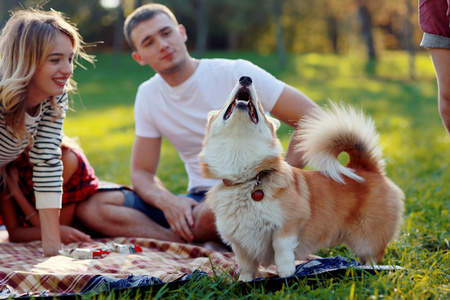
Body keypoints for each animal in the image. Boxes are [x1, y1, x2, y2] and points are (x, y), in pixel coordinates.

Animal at [200, 75, 404, 282]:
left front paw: (286, 272)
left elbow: (280, 247)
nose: (246, 78)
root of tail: (365, 168)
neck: (248, 178)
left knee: (373, 257)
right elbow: (246, 266)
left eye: (262, 110)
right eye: (224, 105)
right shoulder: (240, 243)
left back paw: (370, 270)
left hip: (366, 239)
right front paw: (244, 282)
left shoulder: (289, 223)